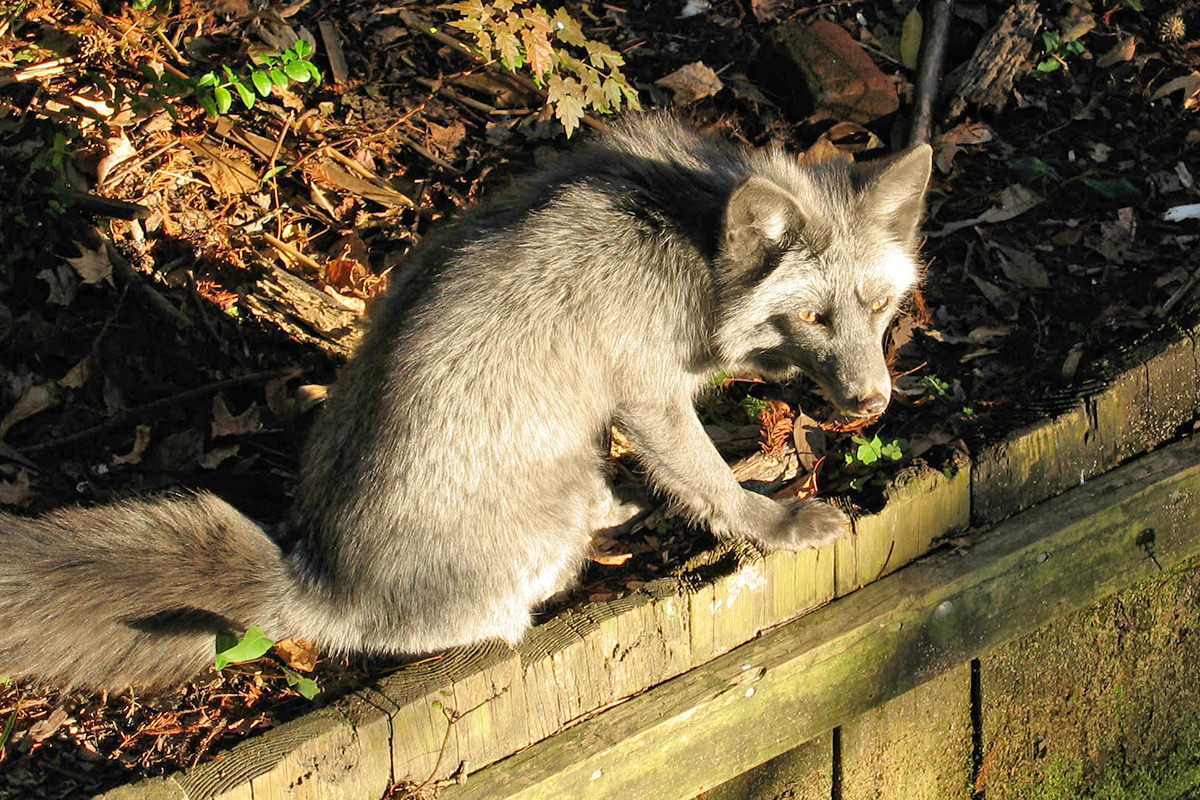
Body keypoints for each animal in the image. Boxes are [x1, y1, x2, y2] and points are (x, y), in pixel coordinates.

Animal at [0, 112, 931, 690]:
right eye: (812, 316)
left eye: (881, 307)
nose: (871, 403)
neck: (686, 237)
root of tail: (319, 581)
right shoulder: (651, 399)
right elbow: (711, 486)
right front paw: (777, 523)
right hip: (549, 510)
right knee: (501, 616)